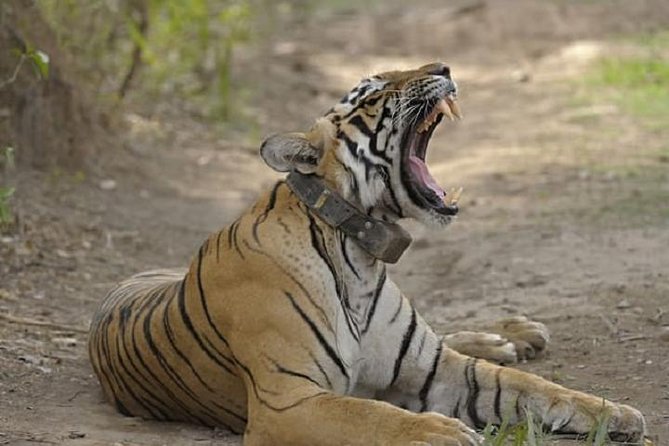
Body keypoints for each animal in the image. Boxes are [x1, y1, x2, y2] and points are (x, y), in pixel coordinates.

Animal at [88, 62, 647, 445]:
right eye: (376, 91)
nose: (444, 67)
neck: (359, 255)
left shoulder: (440, 371)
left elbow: (535, 388)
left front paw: (616, 412)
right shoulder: (287, 401)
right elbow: (373, 415)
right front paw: (442, 433)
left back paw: (513, 334)